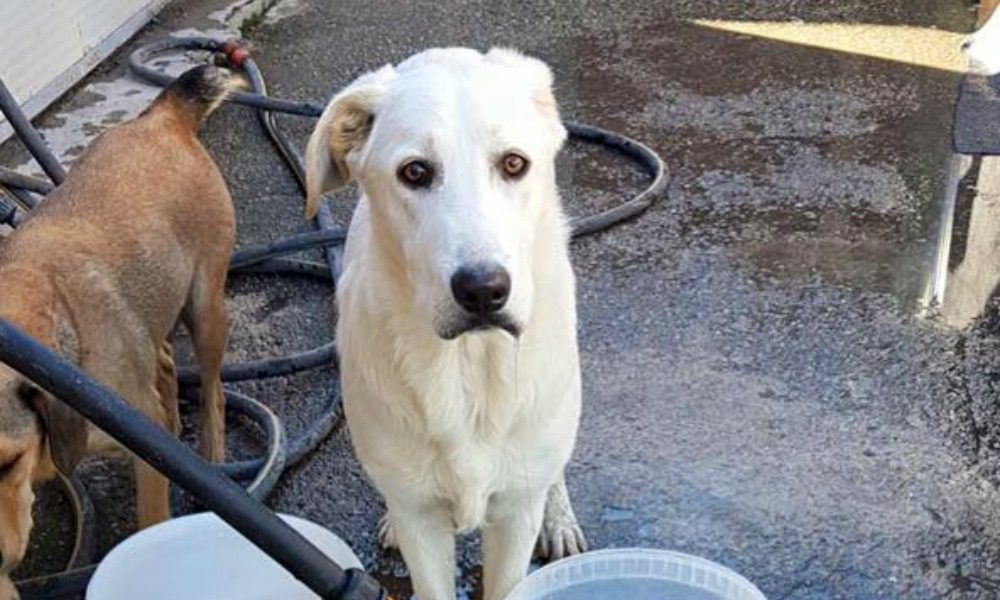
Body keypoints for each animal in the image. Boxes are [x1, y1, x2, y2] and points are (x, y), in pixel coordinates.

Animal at [0, 63, 238, 592]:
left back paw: (211, 460)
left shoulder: (144, 455)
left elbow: (151, 525)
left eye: (8, 462)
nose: (1, 562)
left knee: (212, 391)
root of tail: (160, 118)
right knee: (165, 365)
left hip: (205, 306)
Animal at [304, 48, 584, 600]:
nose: (483, 290)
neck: (467, 366)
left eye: (514, 163)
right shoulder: (421, 522)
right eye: (415, 172)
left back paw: (559, 517)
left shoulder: (514, 514)